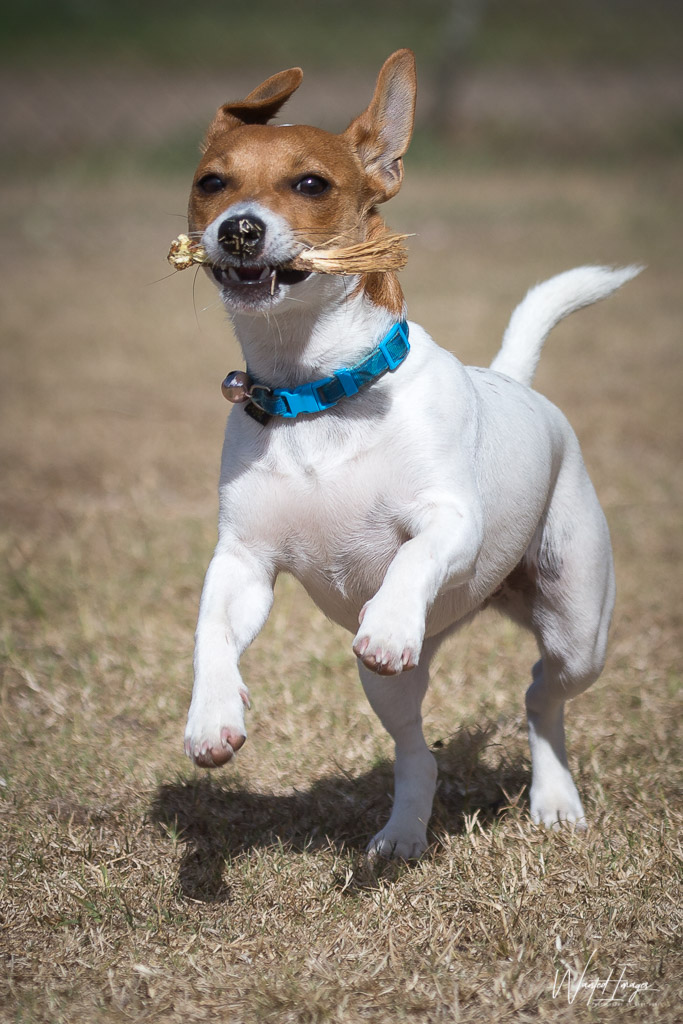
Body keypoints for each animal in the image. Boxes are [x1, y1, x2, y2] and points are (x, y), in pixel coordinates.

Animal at [181, 51, 643, 860]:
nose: (238, 231)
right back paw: (401, 835)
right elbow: (214, 631)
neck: (318, 394)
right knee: (416, 754)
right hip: (390, 686)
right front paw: (212, 719)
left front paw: (392, 621)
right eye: (212, 182)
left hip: (577, 624)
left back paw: (554, 798)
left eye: (311, 184)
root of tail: (515, 380)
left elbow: (414, 555)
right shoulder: (243, 561)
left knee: (540, 692)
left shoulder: (451, 518)